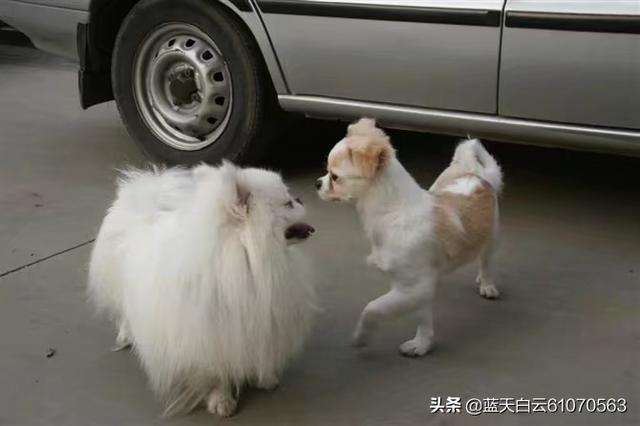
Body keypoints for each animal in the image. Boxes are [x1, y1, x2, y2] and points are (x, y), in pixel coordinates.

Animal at [88, 162, 317, 417]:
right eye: (288, 203)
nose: (300, 198)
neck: (249, 258)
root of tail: (144, 199)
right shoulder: (209, 334)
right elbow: (216, 372)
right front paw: (222, 400)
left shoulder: (263, 323)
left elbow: (259, 352)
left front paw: (264, 378)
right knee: (124, 315)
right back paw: (127, 336)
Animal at [316, 118, 502, 357]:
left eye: (335, 177)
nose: (317, 183)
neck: (392, 214)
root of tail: (477, 175)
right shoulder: (411, 286)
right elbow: (423, 316)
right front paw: (422, 343)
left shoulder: (413, 287)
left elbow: (373, 308)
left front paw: (361, 337)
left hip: (493, 235)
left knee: (486, 259)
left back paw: (486, 284)